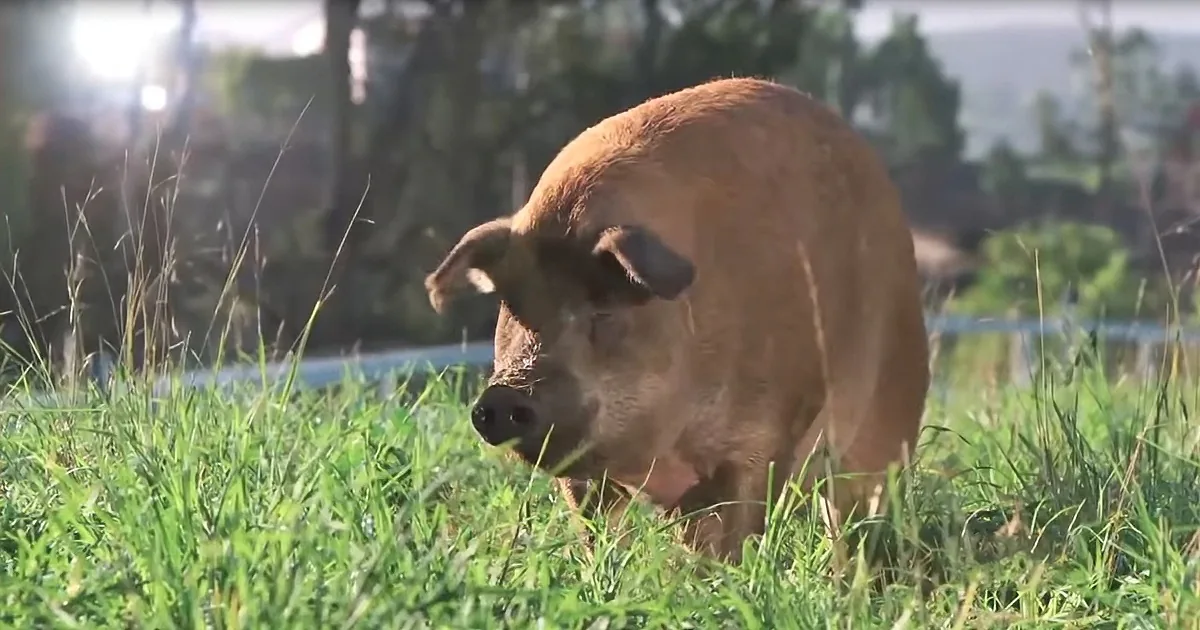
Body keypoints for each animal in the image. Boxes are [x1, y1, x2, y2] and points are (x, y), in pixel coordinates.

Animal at [424, 77, 931, 563]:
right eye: (512, 305)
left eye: (603, 308)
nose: (506, 394)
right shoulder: (593, 476)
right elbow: (598, 533)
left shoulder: (764, 438)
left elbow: (739, 530)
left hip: (891, 406)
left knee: (858, 516)